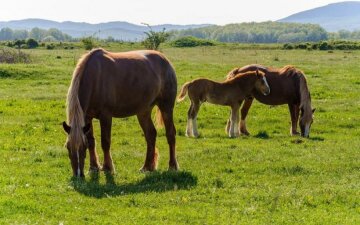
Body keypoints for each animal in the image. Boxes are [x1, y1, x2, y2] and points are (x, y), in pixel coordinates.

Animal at [63, 48, 180, 177]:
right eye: (68, 147)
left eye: (82, 148)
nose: (78, 174)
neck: (94, 78)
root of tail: (165, 60)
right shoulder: (88, 117)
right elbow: (91, 141)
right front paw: (93, 167)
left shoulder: (106, 116)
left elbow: (105, 142)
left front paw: (107, 167)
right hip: (143, 112)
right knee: (151, 135)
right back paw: (147, 167)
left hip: (166, 107)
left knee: (170, 134)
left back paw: (172, 166)